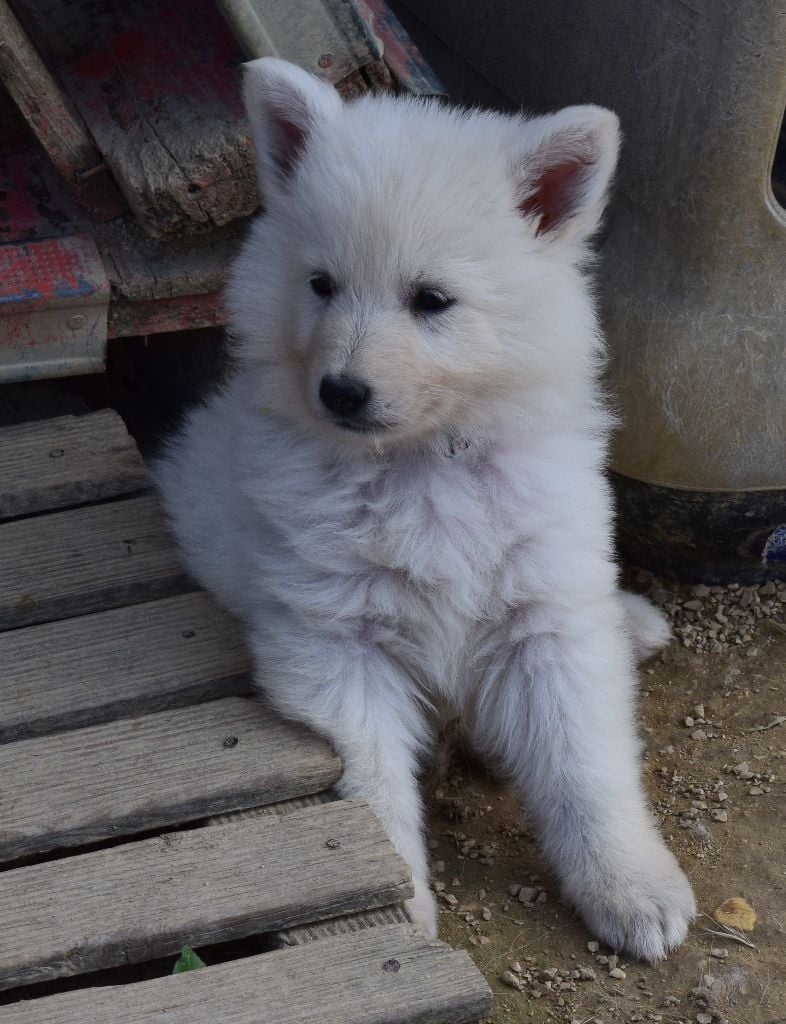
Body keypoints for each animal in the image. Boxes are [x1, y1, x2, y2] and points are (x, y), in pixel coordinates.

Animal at [153, 59, 695, 958]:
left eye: (432, 299)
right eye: (321, 284)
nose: (341, 391)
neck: (420, 468)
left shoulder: (545, 618)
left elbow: (585, 763)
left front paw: (630, 883)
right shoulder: (337, 643)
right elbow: (374, 791)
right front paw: (399, 908)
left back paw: (634, 620)